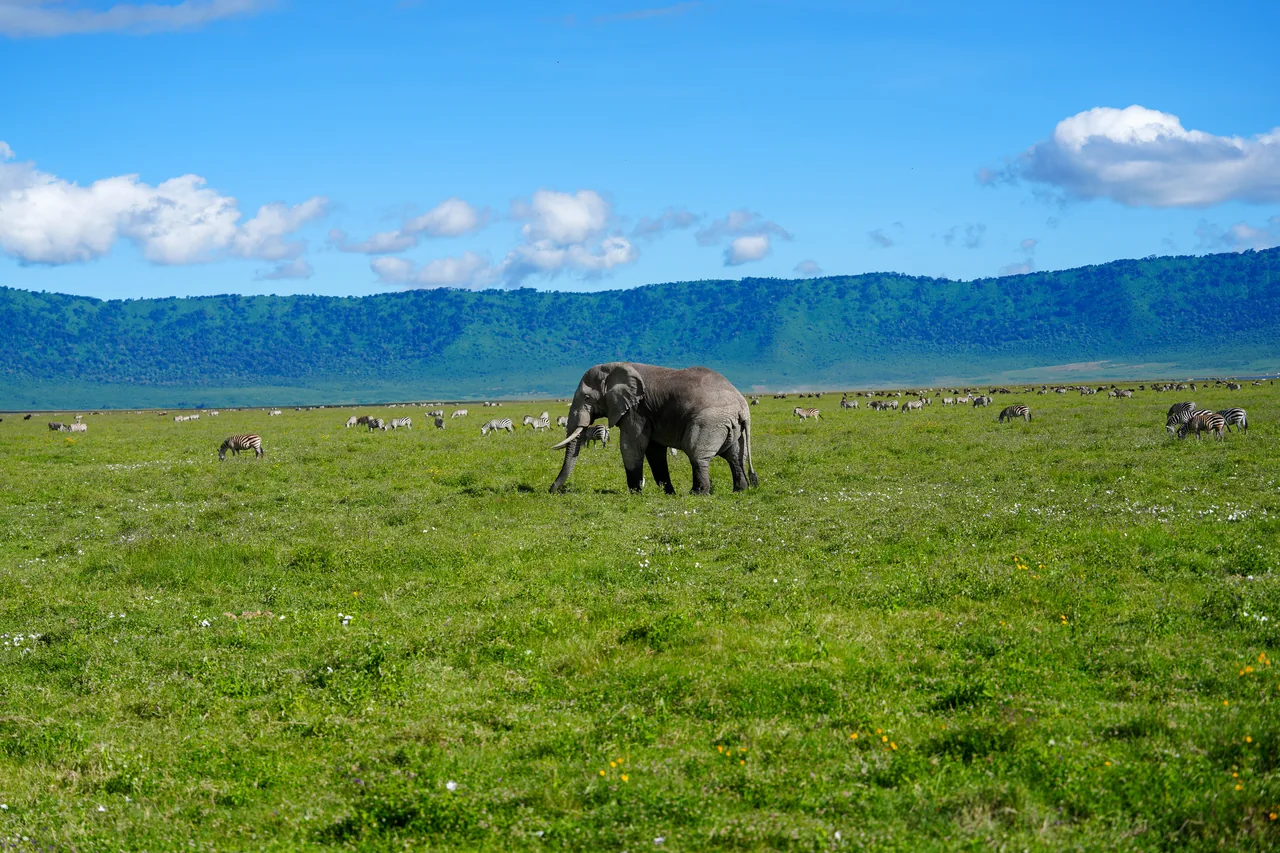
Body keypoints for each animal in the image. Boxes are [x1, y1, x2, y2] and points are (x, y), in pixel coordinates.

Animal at [549, 362, 759, 494]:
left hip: (709, 422)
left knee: (698, 456)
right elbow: (654, 450)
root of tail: (743, 407)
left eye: (586, 398)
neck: (614, 367)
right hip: (732, 426)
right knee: (735, 457)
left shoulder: (636, 409)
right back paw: (740, 490)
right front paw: (668, 493)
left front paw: (635, 494)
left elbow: (632, 446)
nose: (552, 490)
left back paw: (697, 493)